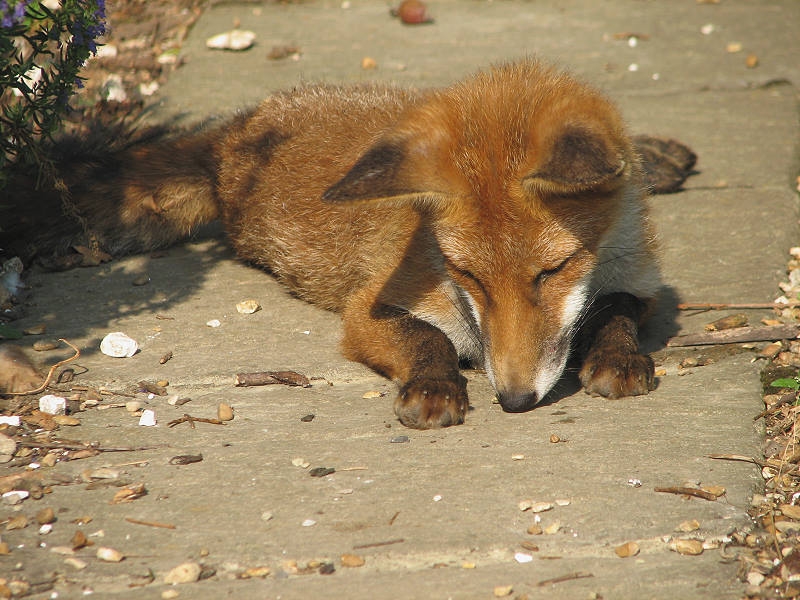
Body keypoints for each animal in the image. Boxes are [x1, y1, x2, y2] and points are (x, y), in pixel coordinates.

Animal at [1, 59, 692, 426]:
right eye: (467, 275)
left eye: (551, 272)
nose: (515, 399)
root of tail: (233, 139)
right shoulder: (370, 310)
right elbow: (431, 339)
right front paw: (436, 387)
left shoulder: (639, 278)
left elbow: (616, 311)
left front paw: (618, 355)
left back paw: (656, 155)